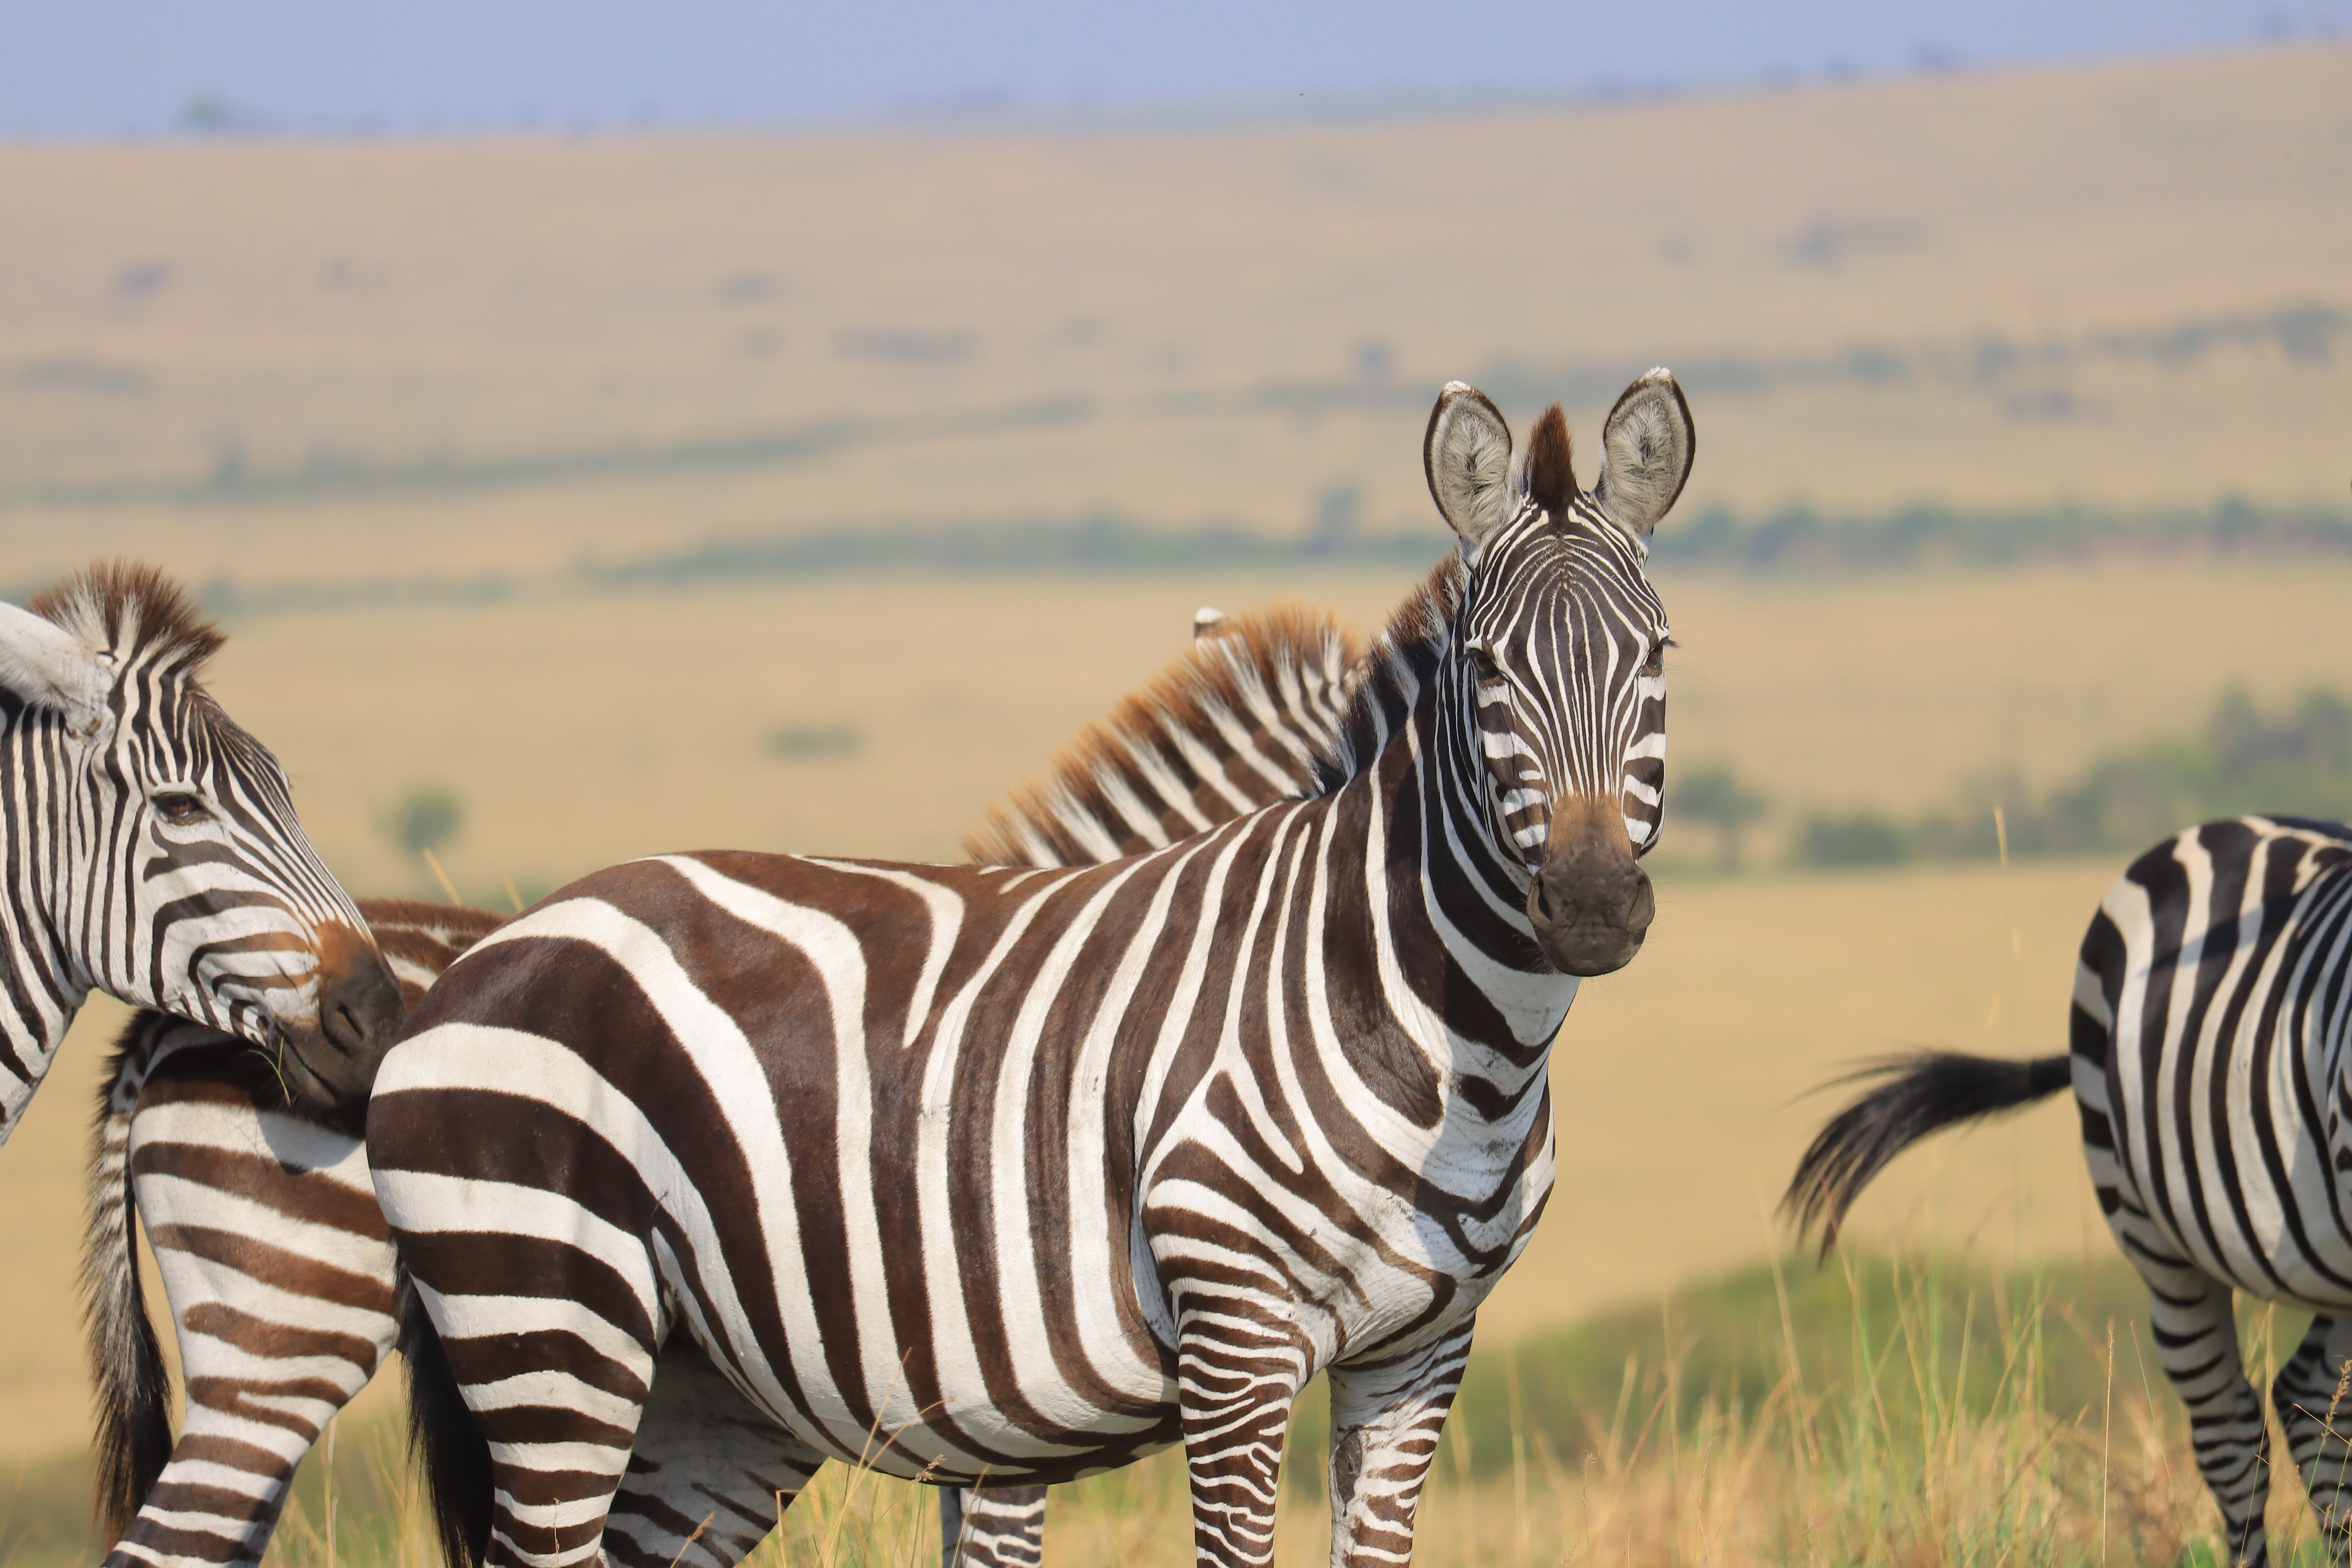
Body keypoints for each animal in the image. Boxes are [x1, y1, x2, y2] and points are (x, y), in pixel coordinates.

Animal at [368, 372, 1694, 1568]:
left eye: (1659, 654)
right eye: (1488, 669)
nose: (1587, 907)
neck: (1451, 1050)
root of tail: (489, 951)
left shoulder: (1420, 1351)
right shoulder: (1207, 1345)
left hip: (702, 1395)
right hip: (547, 1318)